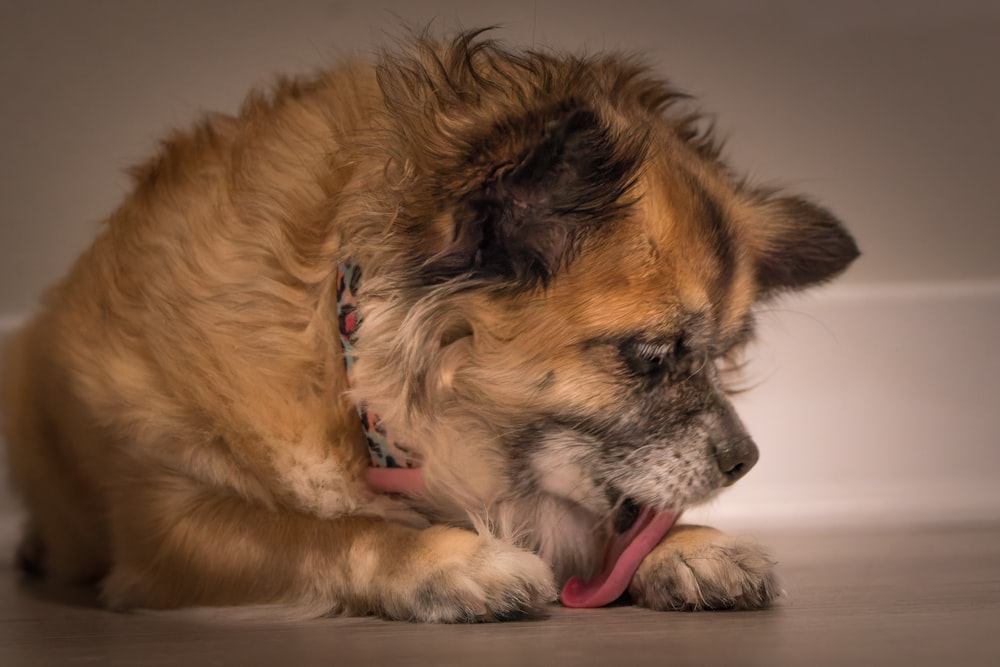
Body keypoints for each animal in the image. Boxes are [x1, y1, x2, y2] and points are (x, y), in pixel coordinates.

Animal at [0, 27, 860, 620]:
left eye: (719, 356)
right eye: (648, 354)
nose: (745, 459)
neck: (343, 353)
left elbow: (609, 521)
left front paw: (688, 547)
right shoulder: (172, 525)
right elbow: (330, 532)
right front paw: (448, 560)